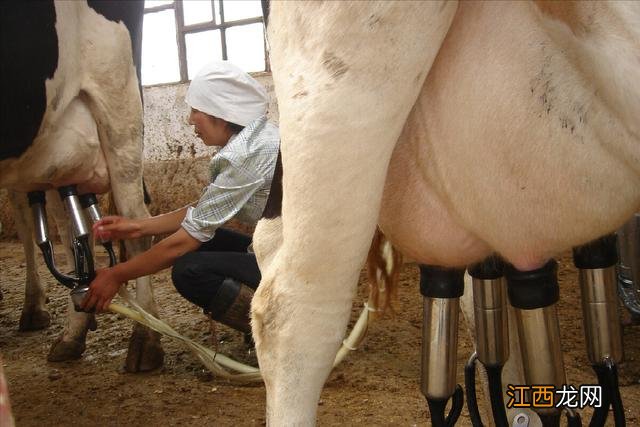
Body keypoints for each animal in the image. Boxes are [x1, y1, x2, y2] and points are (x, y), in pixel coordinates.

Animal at [1, 0, 165, 372]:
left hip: (117, 101)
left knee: (137, 224)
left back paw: (146, 339)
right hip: (52, 146)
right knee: (74, 235)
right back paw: (72, 332)